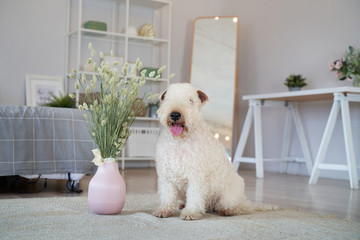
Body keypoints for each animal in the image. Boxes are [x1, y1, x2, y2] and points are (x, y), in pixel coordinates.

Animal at [153, 83, 268, 220]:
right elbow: (167, 196)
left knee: (241, 207)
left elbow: (194, 196)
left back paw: (229, 210)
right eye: (168, 99)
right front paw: (164, 210)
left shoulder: (196, 176)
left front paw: (191, 212)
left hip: (229, 195)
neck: (180, 141)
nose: (175, 115)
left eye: (190, 100)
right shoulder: (166, 176)